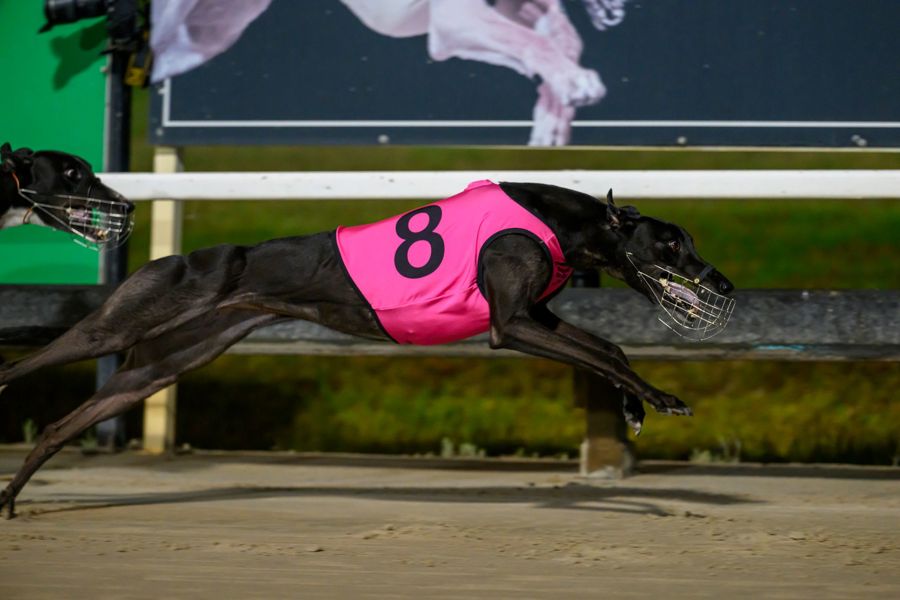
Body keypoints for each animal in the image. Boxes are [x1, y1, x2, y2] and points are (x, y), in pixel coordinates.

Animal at [0, 180, 733, 518]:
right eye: (672, 244)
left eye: (694, 241)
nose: (724, 284)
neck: (565, 220)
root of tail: (177, 259)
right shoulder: (513, 325)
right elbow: (602, 353)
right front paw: (656, 401)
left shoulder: (538, 316)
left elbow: (608, 345)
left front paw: (639, 404)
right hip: (124, 326)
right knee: (39, 359)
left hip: (164, 364)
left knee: (62, 425)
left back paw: (10, 500)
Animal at [151, 0, 628, 146]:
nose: (617, 13)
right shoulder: (454, 21)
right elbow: (538, 42)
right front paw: (571, 85)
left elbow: (563, 41)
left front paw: (552, 120)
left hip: (207, 33)